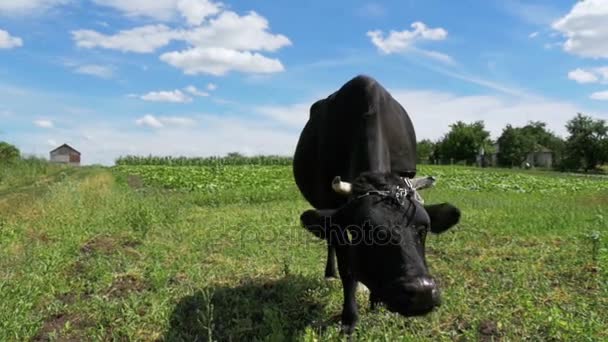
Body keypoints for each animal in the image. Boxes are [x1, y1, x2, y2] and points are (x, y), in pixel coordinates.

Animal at [292, 75, 458, 334]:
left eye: (424, 228)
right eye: (366, 232)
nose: (421, 292)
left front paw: (375, 300)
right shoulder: (337, 216)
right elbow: (348, 269)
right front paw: (349, 319)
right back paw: (329, 274)